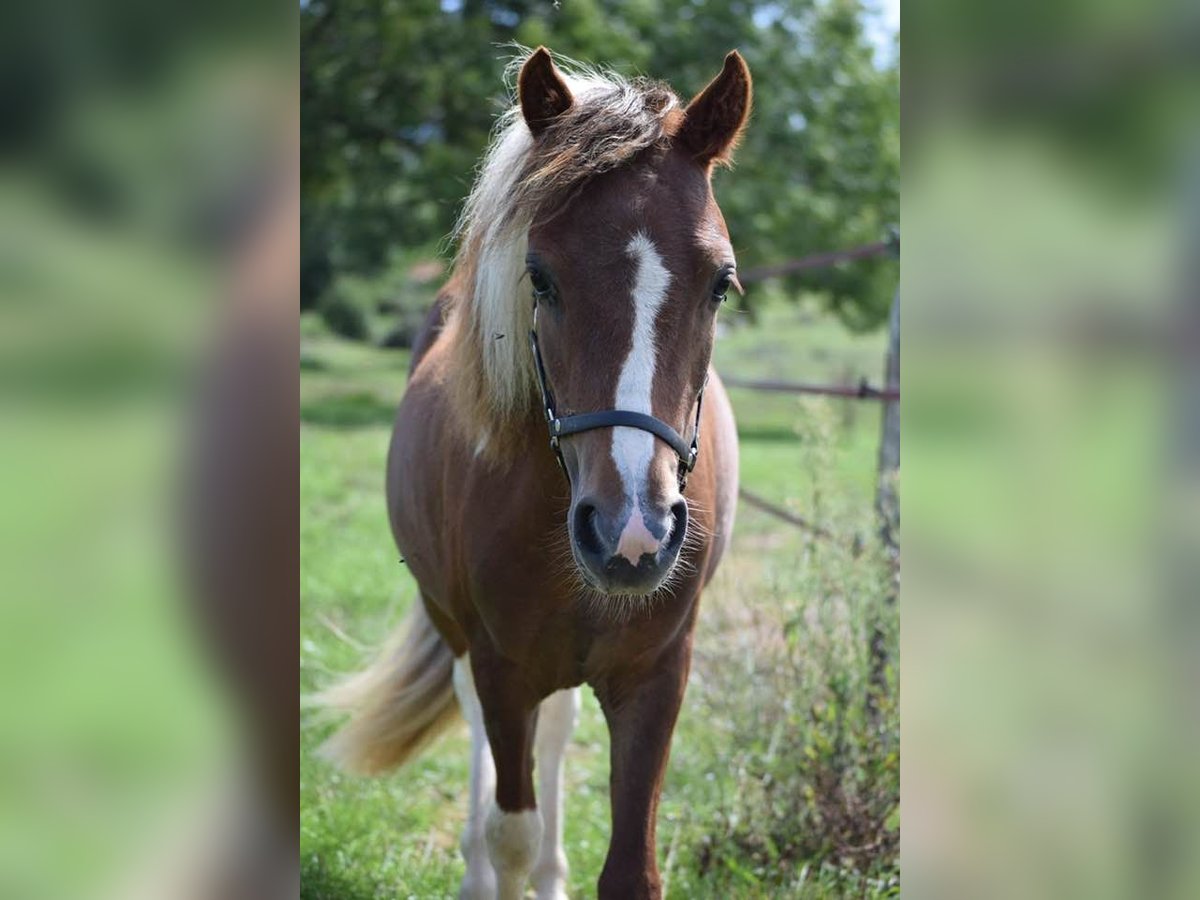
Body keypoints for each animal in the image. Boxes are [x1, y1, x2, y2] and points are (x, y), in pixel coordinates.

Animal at [318, 46, 750, 900]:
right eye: (540, 278)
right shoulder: (501, 667)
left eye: (721, 282)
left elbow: (631, 869)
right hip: (455, 630)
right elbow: (509, 826)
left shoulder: (657, 674)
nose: (630, 534)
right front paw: (497, 866)